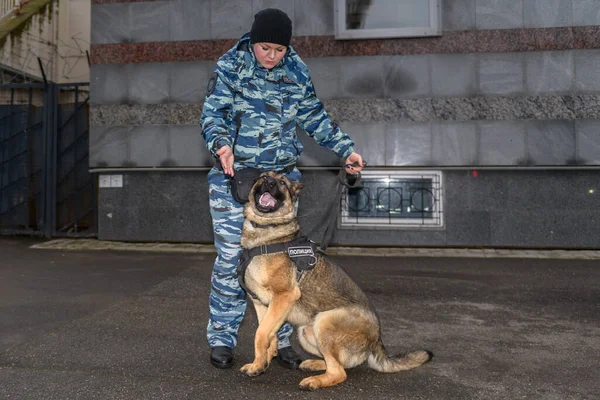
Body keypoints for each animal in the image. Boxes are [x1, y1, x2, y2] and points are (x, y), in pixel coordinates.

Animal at [239, 170, 432, 390]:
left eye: (281, 182)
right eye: (263, 177)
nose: (270, 182)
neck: (266, 232)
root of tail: (377, 340)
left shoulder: (283, 296)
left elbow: (260, 334)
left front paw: (259, 363)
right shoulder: (261, 304)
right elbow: (266, 334)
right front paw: (260, 362)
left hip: (324, 322)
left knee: (339, 372)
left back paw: (315, 381)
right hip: (306, 332)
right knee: (339, 364)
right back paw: (315, 364)